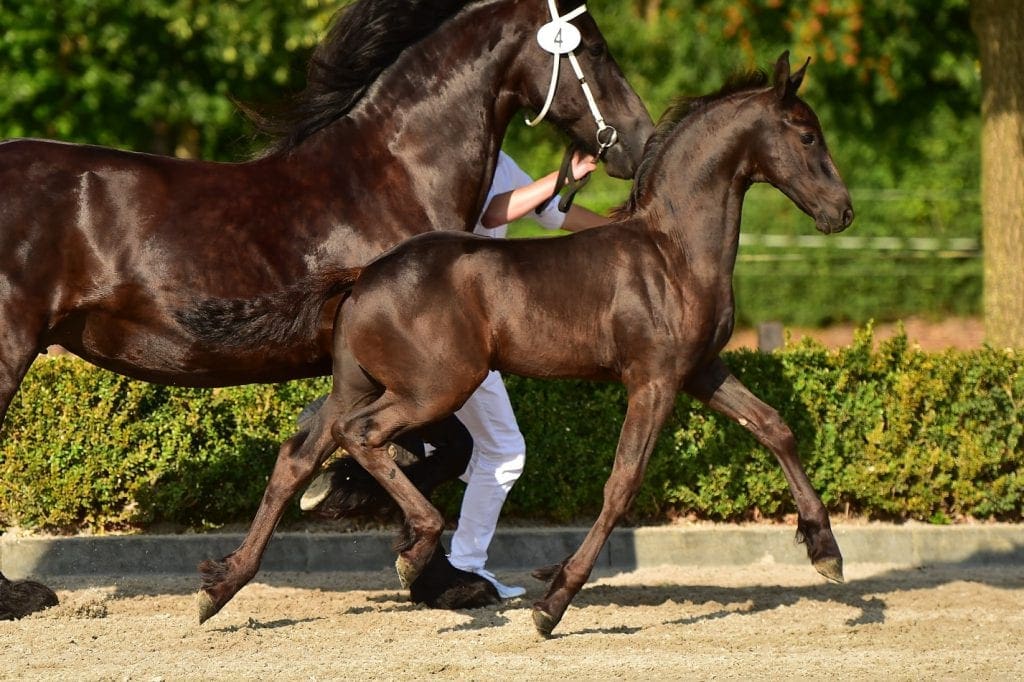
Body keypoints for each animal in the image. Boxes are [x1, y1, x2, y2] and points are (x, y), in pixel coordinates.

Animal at [0, 0, 652, 595]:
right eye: (594, 48)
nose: (639, 144)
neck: (392, 178)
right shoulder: (425, 368)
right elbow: (441, 447)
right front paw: (385, 531)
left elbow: (341, 449)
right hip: (13, 347)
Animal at [182, 51, 853, 634]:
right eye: (807, 136)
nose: (842, 212)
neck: (673, 253)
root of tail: (365, 273)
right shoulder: (654, 380)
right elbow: (622, 484)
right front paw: (552, 604)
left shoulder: (701, 370)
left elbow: (774, 426)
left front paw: (826, 550)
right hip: (434, 387)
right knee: (361, 436)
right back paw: (414, 547)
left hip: (359, 383)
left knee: (300, 456)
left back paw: (221, 587)